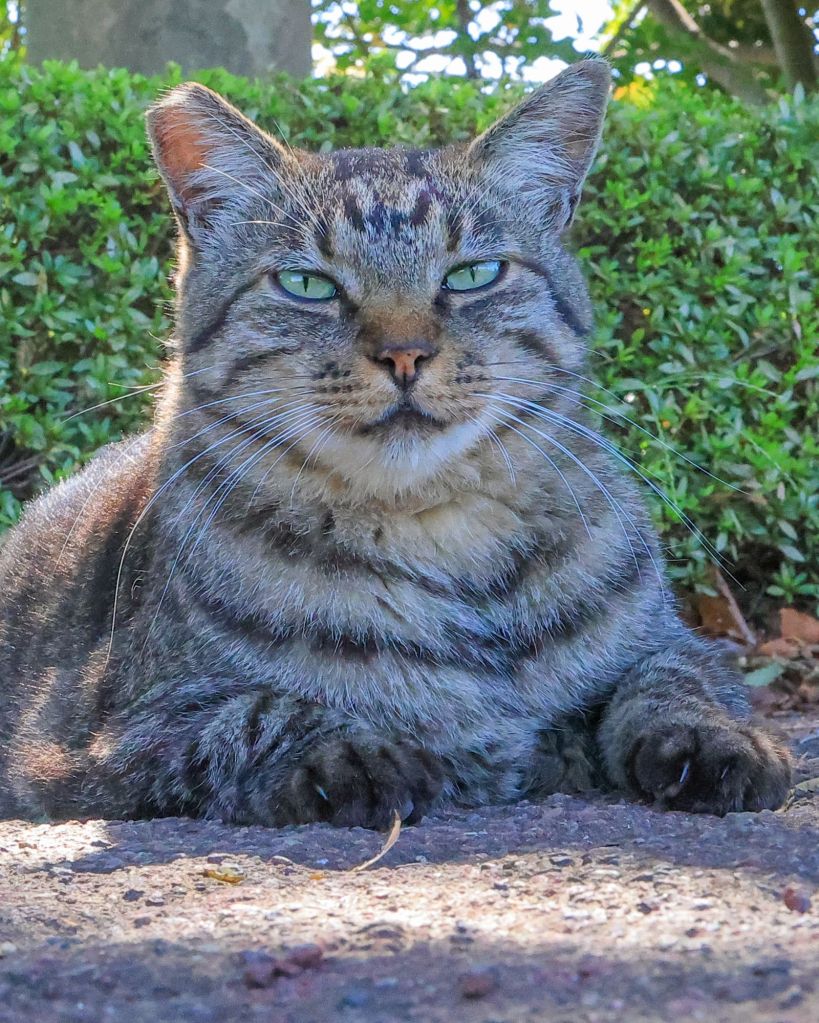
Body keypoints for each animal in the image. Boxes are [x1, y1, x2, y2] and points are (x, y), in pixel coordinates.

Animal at [0, 59, 791, 827]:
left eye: (473, 274)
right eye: (308, 284)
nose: (405, 354)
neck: (442, 532)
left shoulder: (681, 646)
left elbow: (674, 679)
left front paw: (719, 740)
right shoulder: (102, 738)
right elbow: (254, 711)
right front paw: (355, 751)